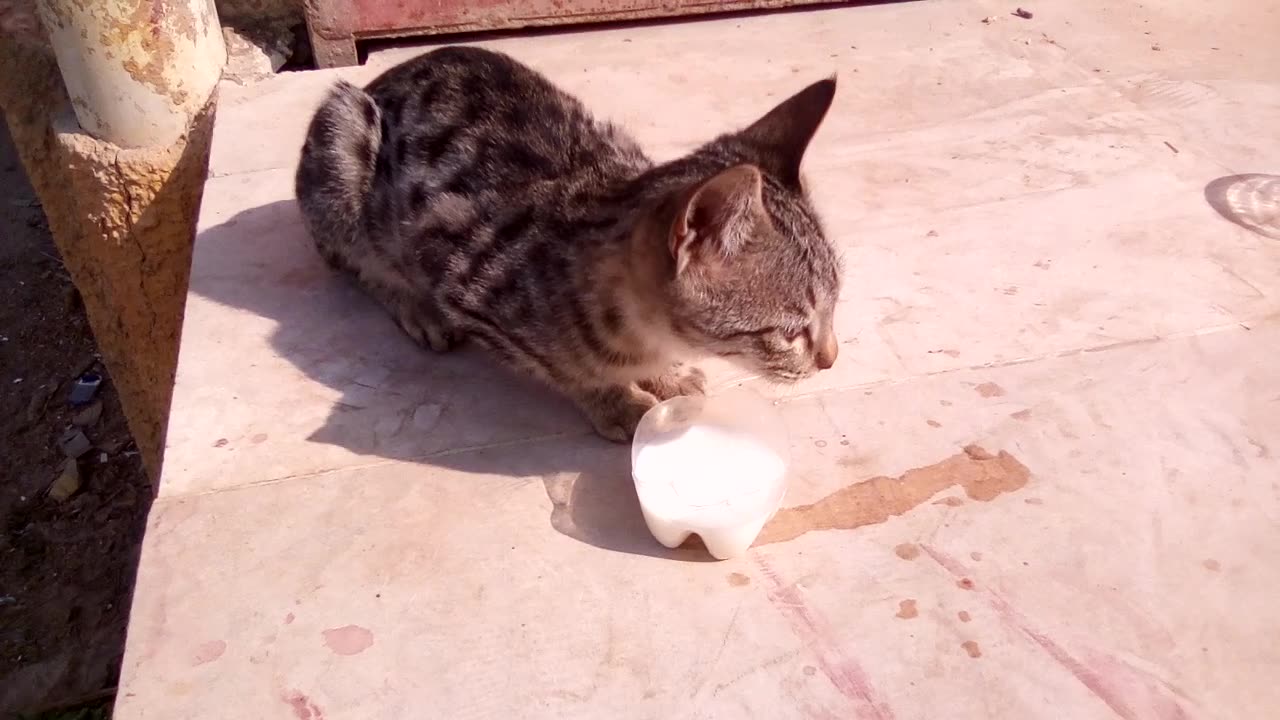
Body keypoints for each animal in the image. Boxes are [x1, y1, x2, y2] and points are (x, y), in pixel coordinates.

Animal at [294, 47, 844, 440]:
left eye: (834, 307)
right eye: (790, 331)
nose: (831, 359)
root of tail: (378, 80)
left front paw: (666, 375)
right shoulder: (463, 283)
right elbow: (566, 370)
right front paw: (615, 401)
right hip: (344, 142)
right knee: (349, 258)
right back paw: (412, 305)